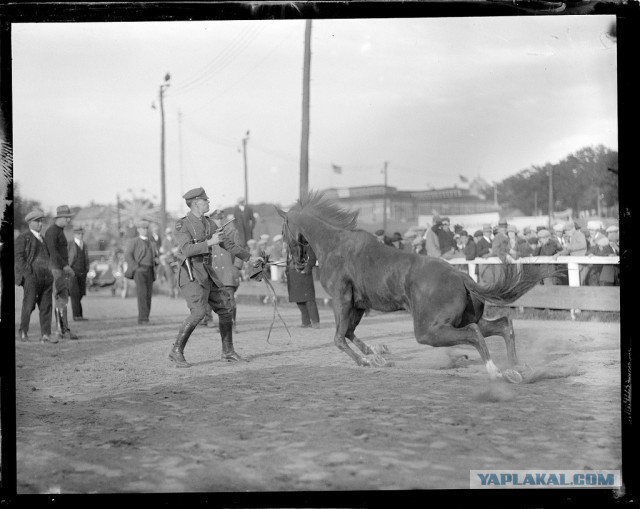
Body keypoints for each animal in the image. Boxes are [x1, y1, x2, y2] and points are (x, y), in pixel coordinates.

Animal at [278, 190, 552, 380]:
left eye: (283, 232)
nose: (297, 264)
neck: (335, 244)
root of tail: (461, 276)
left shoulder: (342, 300)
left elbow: (339, 338)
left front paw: (366, 361)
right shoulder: (358, 305)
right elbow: (349, 333)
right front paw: (377, 356)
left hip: (429, 330)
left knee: (475, 333)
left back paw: (496, 372)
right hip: (455, 321)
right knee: (502, 325)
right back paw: (518, 368)